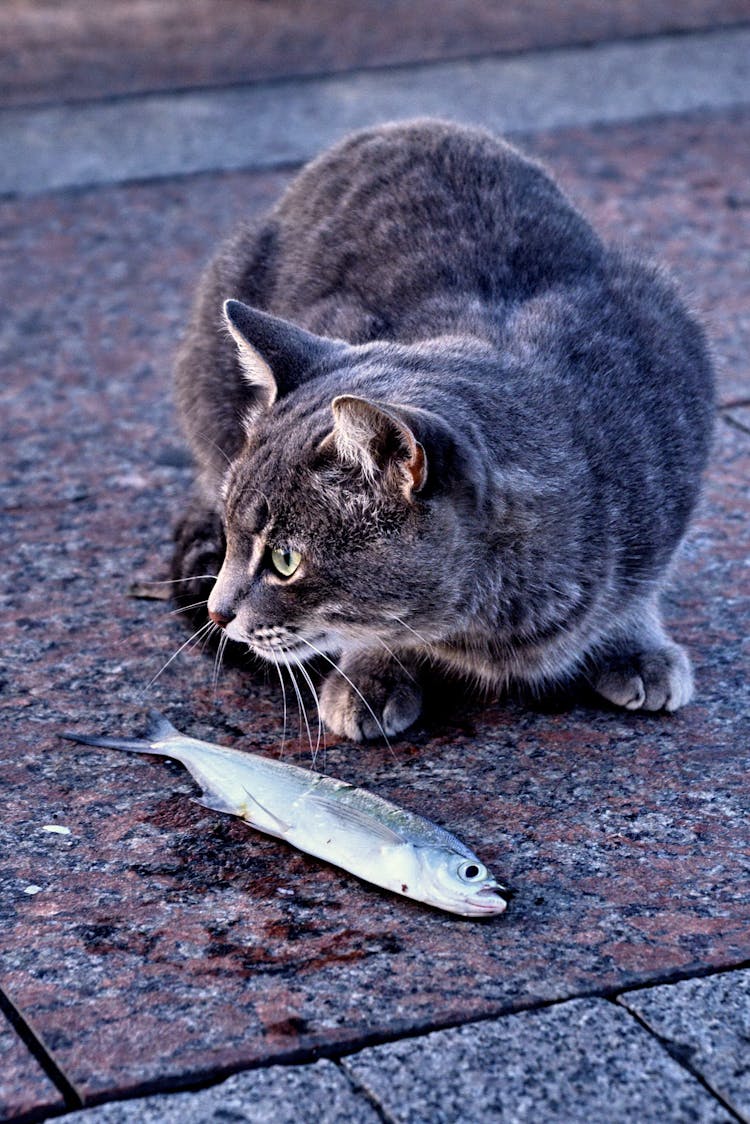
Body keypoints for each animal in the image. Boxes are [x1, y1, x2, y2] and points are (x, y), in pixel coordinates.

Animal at [172, 118, 715, 741]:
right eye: (233, 536)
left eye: (285, 560)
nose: (217, 612)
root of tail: (397, 126)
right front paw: (373, 672)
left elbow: (641, 585)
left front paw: (634, 642)